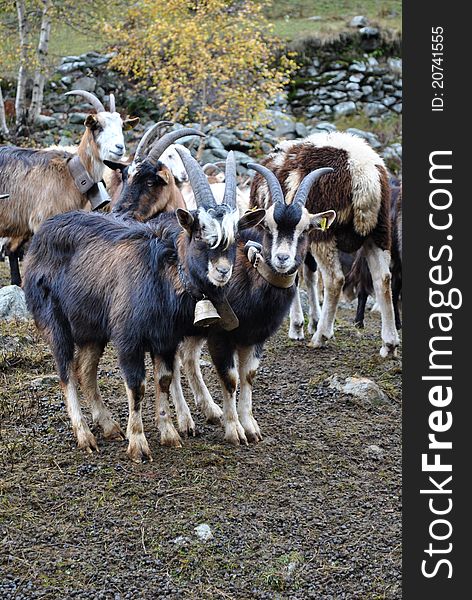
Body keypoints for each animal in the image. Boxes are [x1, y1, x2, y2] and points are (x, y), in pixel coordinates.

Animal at [249, 131, 400, 356]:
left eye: (268, 227)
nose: (281, 258)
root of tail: (363, 174)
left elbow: (292, 277)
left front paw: (298, 327)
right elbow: (309, 277)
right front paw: (312, 320)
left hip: (325, 235)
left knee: (335, 280)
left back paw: (321, 336)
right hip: (379, 231)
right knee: (383, 279)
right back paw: (389, 344)